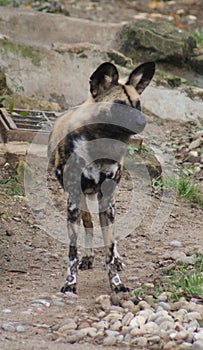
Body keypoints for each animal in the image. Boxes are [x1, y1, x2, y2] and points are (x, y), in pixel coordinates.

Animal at [48, 61, 155, 294]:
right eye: (119, 105)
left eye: (138, 105)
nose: (142, 122)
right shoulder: (73, 201)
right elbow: (72, 252)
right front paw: (70, 283)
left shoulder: (107, 201)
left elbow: (109, 248)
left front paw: (116, 283)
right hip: (81, 200)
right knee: (88, 223)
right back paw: (88, 257)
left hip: (108, 201)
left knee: (110, 237)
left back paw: (117, 259)